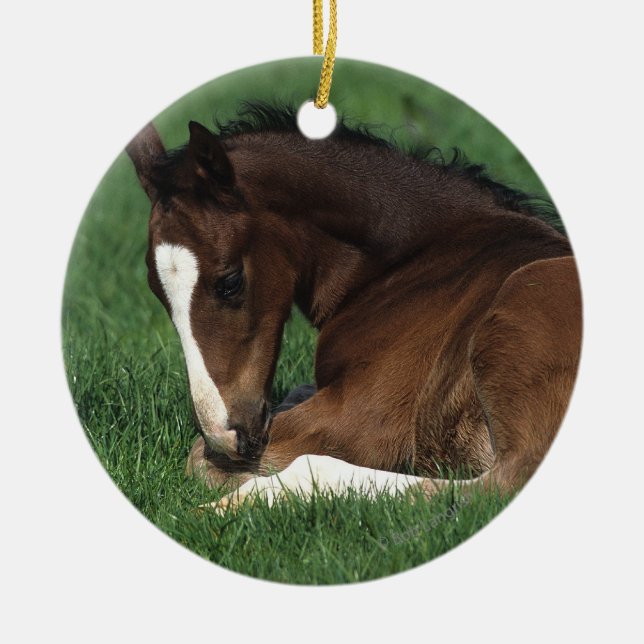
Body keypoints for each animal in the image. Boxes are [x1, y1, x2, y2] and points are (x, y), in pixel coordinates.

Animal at [126, 103, 582, 510]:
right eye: (156, 291)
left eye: (230, 281)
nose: (227, 437)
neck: (414, 261)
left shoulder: (368, 416)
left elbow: (197, 459)